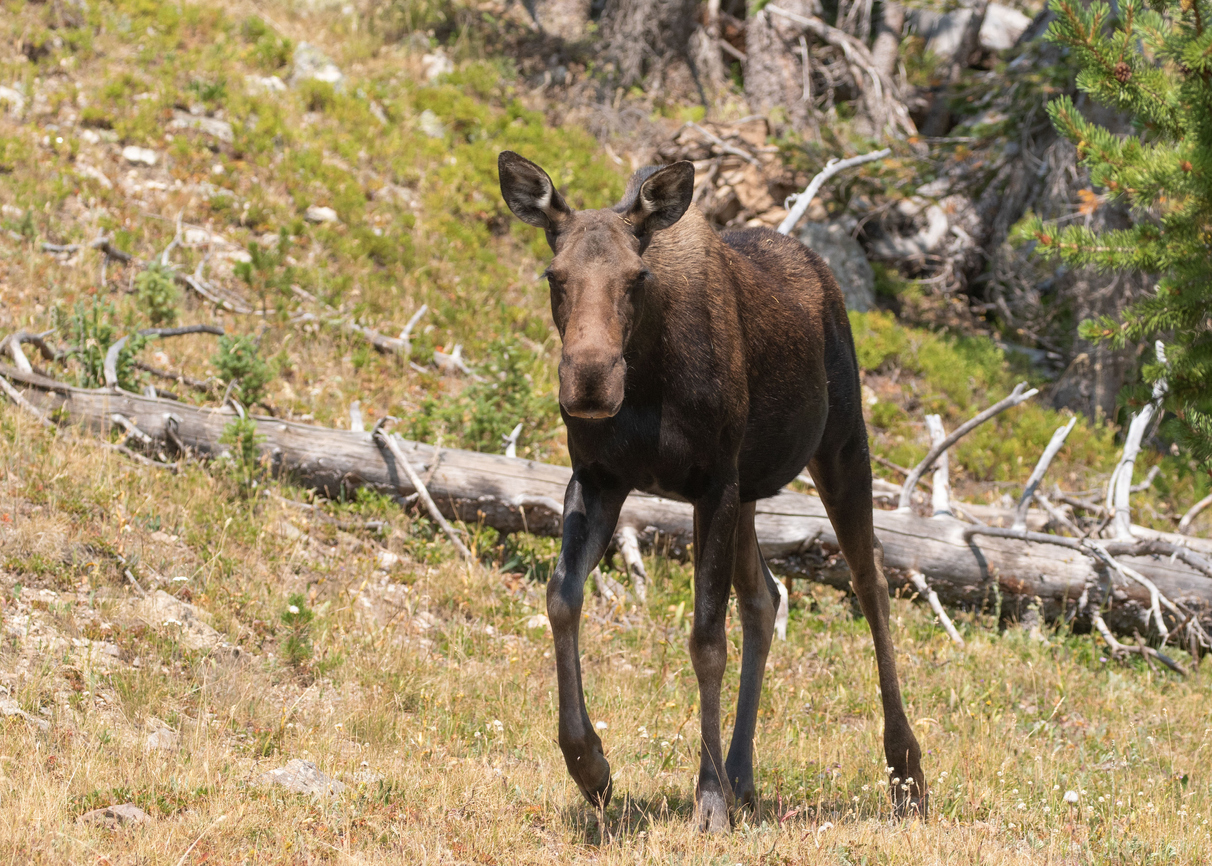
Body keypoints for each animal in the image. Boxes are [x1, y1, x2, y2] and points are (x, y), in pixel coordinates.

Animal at [497, 151, 927, 831]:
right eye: (554, 274)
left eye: (636, 276)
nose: (589, 380)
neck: (648, 377)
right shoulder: (599, 477)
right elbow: (561, 596)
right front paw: (590, 766)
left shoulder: (712, 485)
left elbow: (705, 641)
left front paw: (709, 801)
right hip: (751, 489)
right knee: (766, 597)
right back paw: (743, 774)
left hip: (840, 444)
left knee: (872, 582)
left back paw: (906, 774)